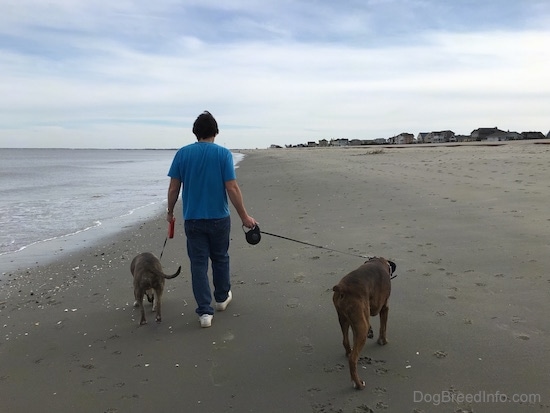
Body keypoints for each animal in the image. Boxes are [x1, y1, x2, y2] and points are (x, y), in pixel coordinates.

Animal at [332, 256, 396, 388]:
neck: (378, 261)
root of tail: (342, 288)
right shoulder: (385, 307)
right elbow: (383, 327)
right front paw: (383, 341)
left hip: (344, 319)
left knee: (346, 341)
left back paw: (349, 352)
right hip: (361, 326)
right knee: (352, 359)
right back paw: (359, 384)